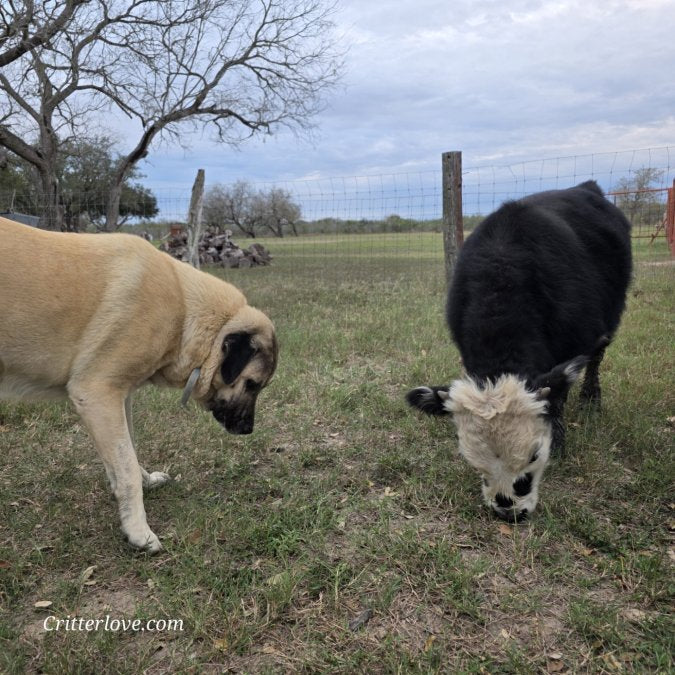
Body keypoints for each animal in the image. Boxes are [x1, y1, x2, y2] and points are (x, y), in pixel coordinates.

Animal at [406, 181, 632, 522]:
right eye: (471, 458)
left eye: (535, 454)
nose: (508, 511)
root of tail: (586, 187)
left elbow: (558, 398)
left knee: (596, 358)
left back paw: (591, 399)